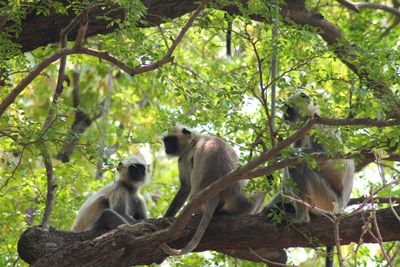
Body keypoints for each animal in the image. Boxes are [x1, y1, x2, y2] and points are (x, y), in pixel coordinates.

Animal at [161, 127, 264, 258]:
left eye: (171, 140)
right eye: (166, 141)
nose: (167, 147)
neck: (195, 138)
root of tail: (215, 192)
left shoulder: (184, 157)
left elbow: (185, 187)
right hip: (242, 200)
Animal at [264, 91, 354, 267]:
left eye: (288, 108)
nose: (284, 116)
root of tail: (340, 207)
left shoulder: (315, 125)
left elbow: (327, 156)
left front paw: (284, 154)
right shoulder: (301, 131)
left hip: (326, 199)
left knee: (299, 165)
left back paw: (301, 218)